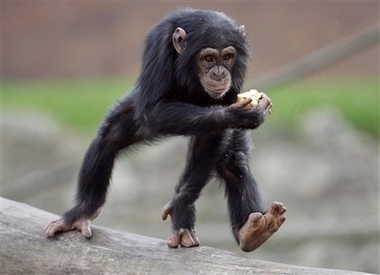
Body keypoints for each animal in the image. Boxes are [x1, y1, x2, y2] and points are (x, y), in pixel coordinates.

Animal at [45, 7, 284, 253]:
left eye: (227, 58)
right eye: (208, 58)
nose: (219, 73)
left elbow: (213, 132)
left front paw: (181, 205)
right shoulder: (159, 48)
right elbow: (153, 111)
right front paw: (237, 115)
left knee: (233, 158)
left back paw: (251, 231)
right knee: (110, 136)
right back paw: (82, 213)